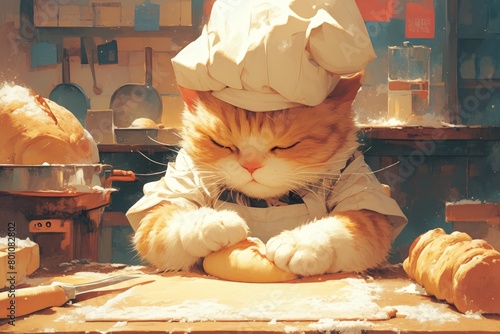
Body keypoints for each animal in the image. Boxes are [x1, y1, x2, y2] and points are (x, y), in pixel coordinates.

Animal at [130, 75, 406, 276]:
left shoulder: (361, 191)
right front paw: (214, 223)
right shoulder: (178, 184)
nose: (250, 165)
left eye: (287, 145)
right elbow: (165, 219)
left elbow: (346, 225)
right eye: (221, 144)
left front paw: (299, 243)